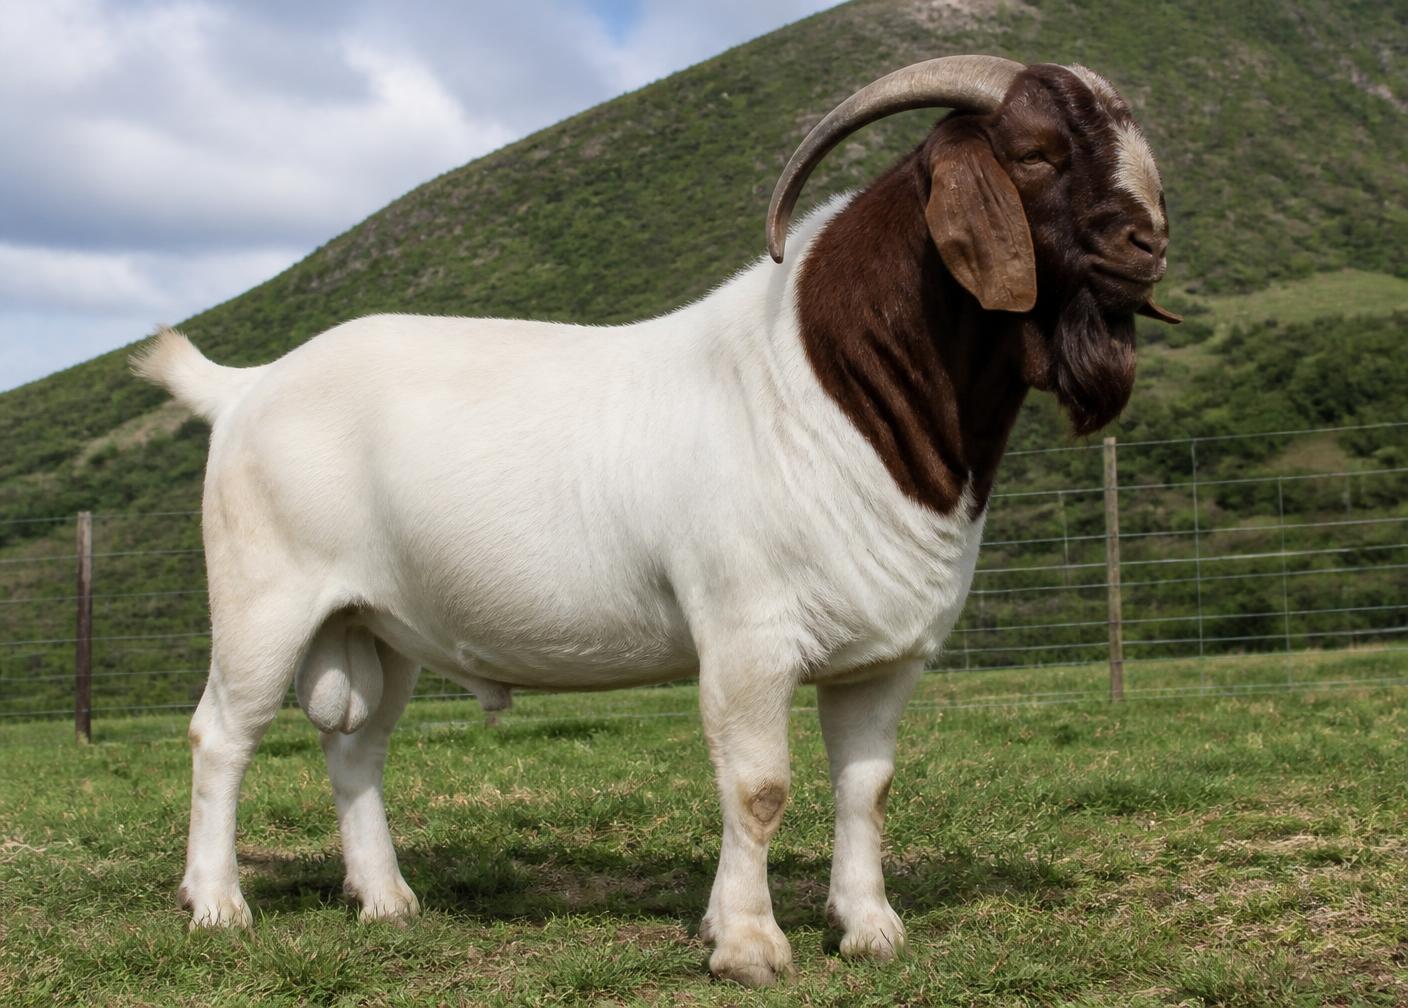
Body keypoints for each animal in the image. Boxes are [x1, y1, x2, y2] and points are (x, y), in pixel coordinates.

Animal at [133, 55, 1177, 986]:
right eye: (1036, 152)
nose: (1151, 245)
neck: (822, 384)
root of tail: (247, 387)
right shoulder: (748, 633)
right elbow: (759, 787)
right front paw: (749, 947)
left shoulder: (883, 656)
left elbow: (866, 787)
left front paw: (869, 929)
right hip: (265, 598)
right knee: (221, 734)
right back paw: (218, 906)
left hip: (379, 626)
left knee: (356, 747)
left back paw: (386, 901)